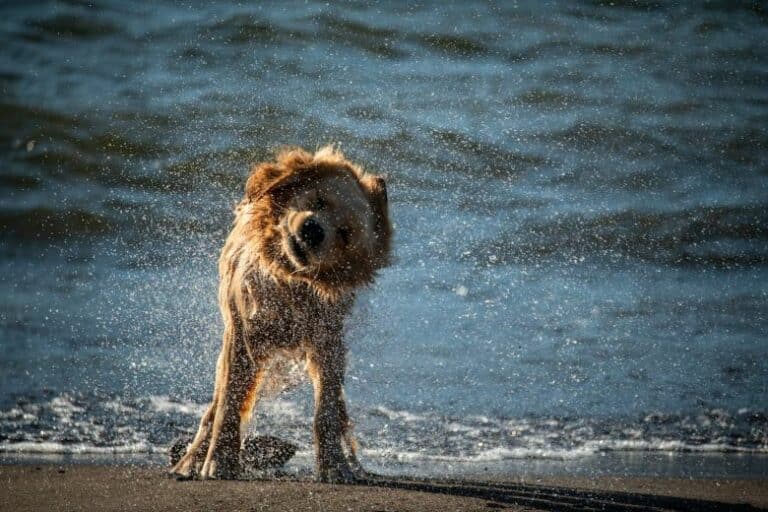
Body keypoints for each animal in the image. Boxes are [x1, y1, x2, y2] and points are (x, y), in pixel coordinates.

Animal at [172, 146, 392, 482]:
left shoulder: (327, 339)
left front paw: (334, 464)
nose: (313, 230)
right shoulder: (244, 330)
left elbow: (327, 408)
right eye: (318, 200)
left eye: (344, 234)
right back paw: (191, 459)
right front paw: (219, 460)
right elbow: (229, 401)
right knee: (215, 404)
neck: (289, 280)